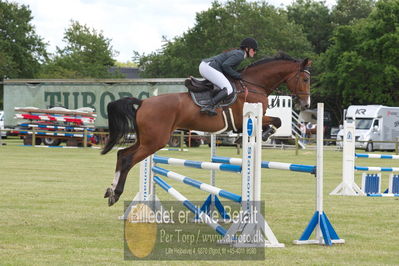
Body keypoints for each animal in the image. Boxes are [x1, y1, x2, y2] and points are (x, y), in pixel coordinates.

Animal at [101, 52, 312, 206]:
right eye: (305, 79)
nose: (306, 104)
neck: (253, 84)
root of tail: (143, 102)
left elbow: (275, 121)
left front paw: (248, 138)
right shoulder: (245, 118)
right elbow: (277, 121)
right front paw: (263, 135)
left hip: (146, 140)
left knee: (121, 154)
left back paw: (110, 190)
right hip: (155, 141)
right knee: (128, 159)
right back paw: (115, 194)